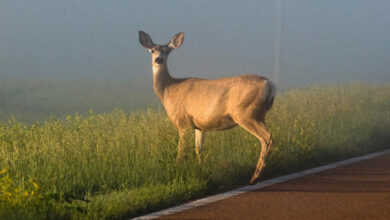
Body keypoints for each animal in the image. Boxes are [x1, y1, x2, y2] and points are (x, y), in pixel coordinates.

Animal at [139, 31, 276, 184]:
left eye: (167, 51)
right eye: (152, 50)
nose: (159, 60)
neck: (169, 90)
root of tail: (270, 85)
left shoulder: (183, 122)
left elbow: (181, 149)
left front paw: (176, 167)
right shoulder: (199, 126)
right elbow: (198, 149)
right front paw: (202, 170)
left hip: (245, 113)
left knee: (267, 137)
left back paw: (255, 176)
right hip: (259, 115)